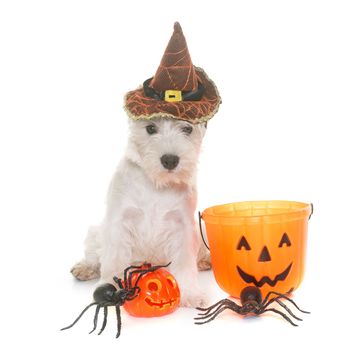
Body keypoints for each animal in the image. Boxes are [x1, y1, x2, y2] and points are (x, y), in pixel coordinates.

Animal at [69, 117, 209, 306]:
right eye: (150, 128)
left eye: (187, 129)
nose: (170, 160)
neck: (156, 184)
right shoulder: (119, 222)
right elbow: (114, 258)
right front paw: (111, 287)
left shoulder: (184, 227)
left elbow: (184, 263)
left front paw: (190, 294)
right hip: (96, 232)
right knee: (94, 255)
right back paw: (85, 268)